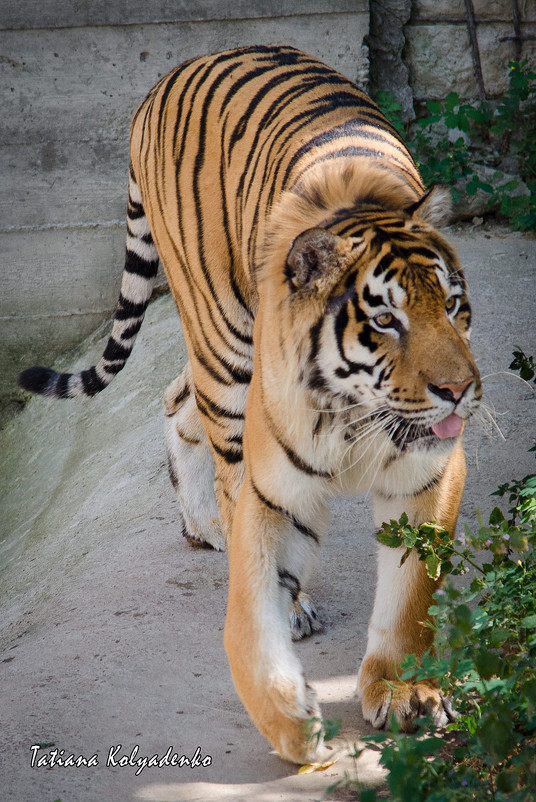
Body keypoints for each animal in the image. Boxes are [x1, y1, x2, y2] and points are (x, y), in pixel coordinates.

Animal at [21, 45, 482, 764]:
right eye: (386, 321)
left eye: (455, 306)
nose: (458, 390)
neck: (359, 409)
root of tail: (176, 69)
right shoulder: (276, 484)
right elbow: (255, 598)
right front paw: (289, 717)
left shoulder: (426, 473)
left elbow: (411, 595)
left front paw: (405, 691)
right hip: (222, 349)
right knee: (213, 443)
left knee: (172, 398)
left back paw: (200, 526)